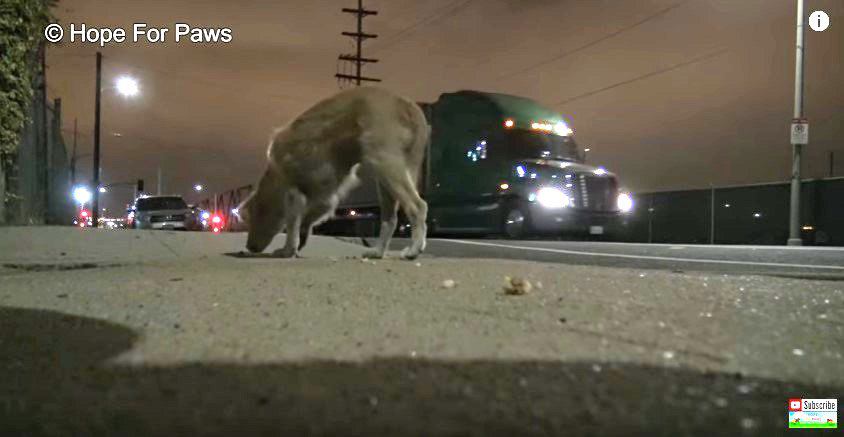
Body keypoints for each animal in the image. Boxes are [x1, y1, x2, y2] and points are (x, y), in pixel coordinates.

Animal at [236, 87, 428, 260]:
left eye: (249, 221)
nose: (249, 247)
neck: (275, 176)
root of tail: (407, 105)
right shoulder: (326, 199)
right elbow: (306, 221)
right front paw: (299, 244)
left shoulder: (293, 194)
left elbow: (292, 228)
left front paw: (287, 250)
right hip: (389, 177)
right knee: (390, 219)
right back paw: (378, 252)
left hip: (383, 163)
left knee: (418, 206)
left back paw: (414, 249)